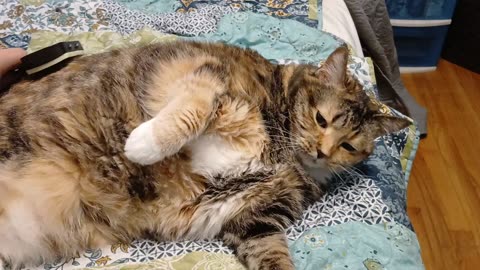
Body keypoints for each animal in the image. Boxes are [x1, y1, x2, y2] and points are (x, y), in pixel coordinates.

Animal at [0, 40, 408, 270]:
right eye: (321, 118)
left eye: (349, 146)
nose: (323, 153)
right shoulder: (199, 69)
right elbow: (195, 107)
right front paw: (142, 144)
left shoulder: (255, 219)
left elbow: (271, 253)